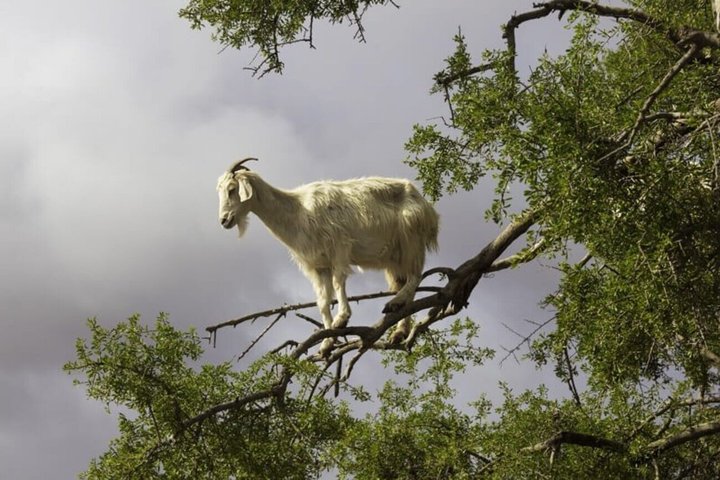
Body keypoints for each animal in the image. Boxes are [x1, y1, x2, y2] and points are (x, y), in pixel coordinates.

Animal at [217, 158, 439, 354]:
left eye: (232, 189)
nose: (224, 220)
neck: (297, 210)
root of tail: (428, 208)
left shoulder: (339, 248)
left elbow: (339, 282)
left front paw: (342, 319)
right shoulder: (318, 265)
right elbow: (323, 302)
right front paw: (327, 343)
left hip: (411, 240)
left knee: (415, 277)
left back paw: (393, 305)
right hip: (394, 259)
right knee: (405, 284)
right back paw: (399, 331)